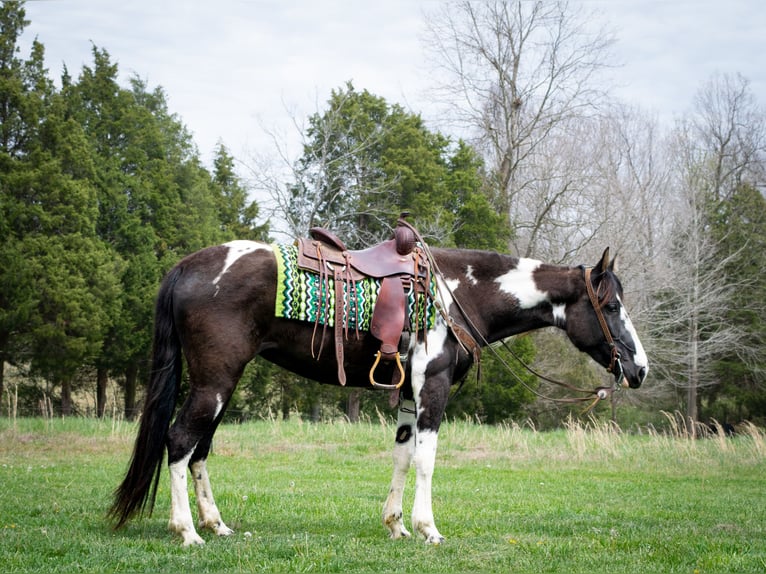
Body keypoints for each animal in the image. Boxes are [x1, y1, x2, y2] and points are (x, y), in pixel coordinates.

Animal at [108, 236, 648, 548]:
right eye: (612, 305)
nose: (639, 368)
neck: (457, 293)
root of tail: (186, 266)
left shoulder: (408, 395)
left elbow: (403, 457)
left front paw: (396, 524)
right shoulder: (433, 388)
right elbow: (428, 460)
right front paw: (429, 529)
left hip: (219, 385)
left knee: (199, 450)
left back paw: (215, 525)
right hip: (215, 384)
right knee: (180, 442)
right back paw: (187, 532)